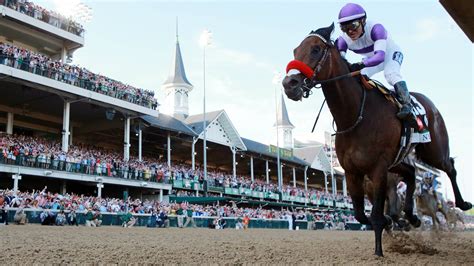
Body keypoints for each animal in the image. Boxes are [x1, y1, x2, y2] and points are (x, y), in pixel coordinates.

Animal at [282, 23, 470, 256]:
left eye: (316, 49)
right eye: (295, 51)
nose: (289, 84)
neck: (355, 115)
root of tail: (428, 103)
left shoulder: (378, 169)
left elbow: (376, 215)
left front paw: (379, 250)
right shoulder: (352, 172)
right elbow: (362, 215)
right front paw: (394, 222)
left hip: (433, 152)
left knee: (449, 167)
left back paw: (462, 203)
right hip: (398, 162)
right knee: (411, 173)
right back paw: (412, 216)